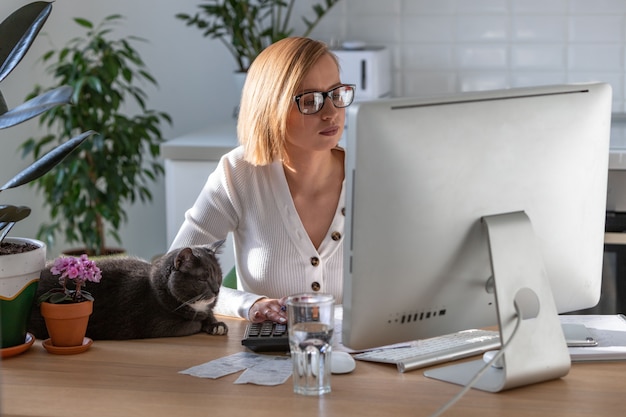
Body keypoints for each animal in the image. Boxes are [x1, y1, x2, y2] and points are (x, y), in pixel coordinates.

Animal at [29, 242, 228, 340]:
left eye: (218, 276)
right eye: (202, 279)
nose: (217, 290)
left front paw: (216, 324)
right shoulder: (163, 325)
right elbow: (194, 324)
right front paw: (204, 322)